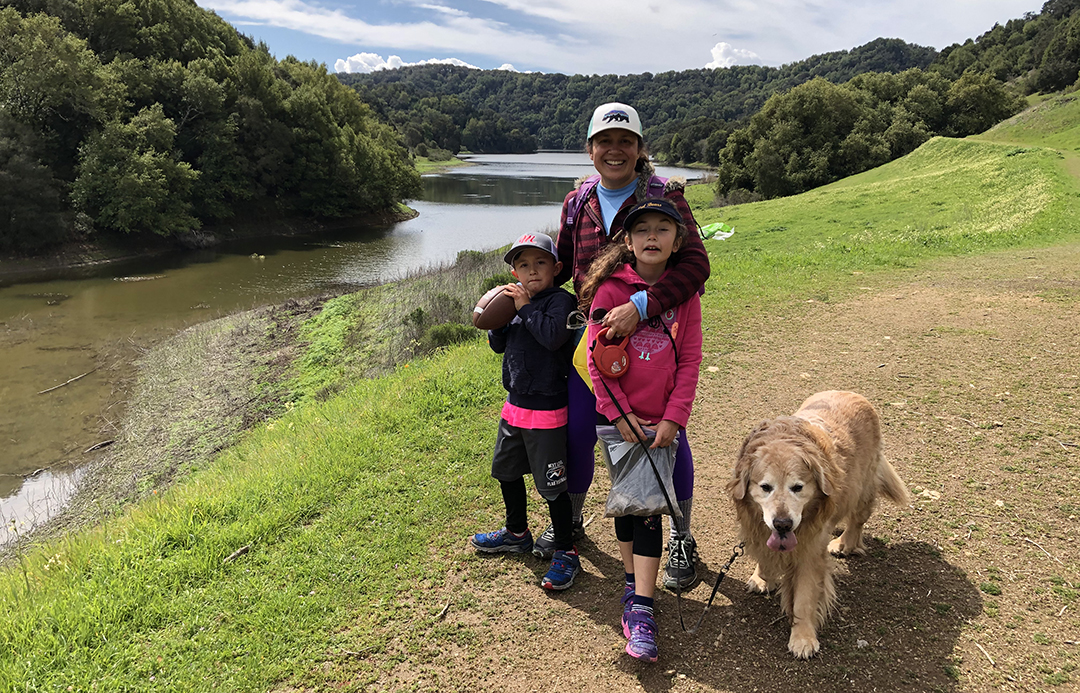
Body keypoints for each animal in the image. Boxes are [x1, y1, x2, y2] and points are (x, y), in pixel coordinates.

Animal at [725, 390, 911, 656]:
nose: (783, 524)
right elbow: (766, 554)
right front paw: (763, 577)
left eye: (798, 487)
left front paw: (803, 638)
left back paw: (844, 544)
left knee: (857, 519)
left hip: (862, 487)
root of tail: (852, 392)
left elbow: (803, 599)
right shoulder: (758, 527)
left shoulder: (810, 551)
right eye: (765, 487)